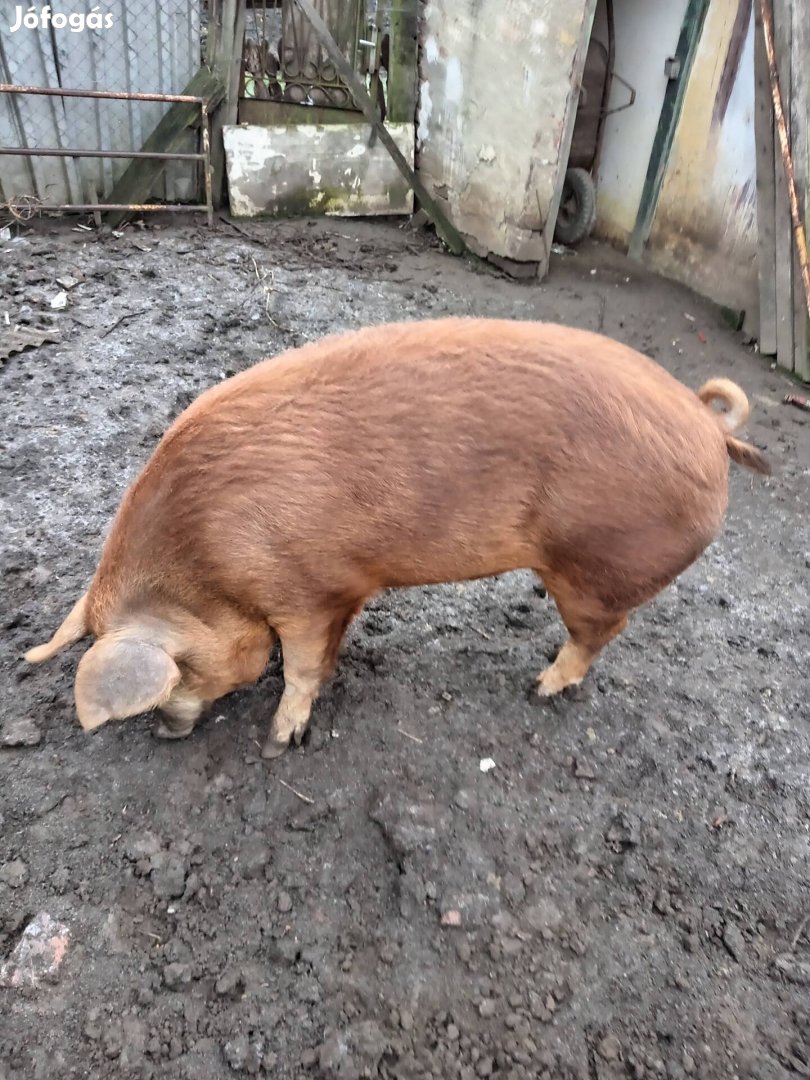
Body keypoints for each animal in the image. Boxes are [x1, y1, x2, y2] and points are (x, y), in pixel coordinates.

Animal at [25, 315, 768, 756]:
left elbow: (299, 666)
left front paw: (278, 742)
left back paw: (538, 687)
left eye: (181, 671)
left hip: (595, 569)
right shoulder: (339, 592)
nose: (162, 733)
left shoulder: (304, 590)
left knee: (601, 632)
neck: (209, 562)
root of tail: (710, 428)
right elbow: (324, 652)